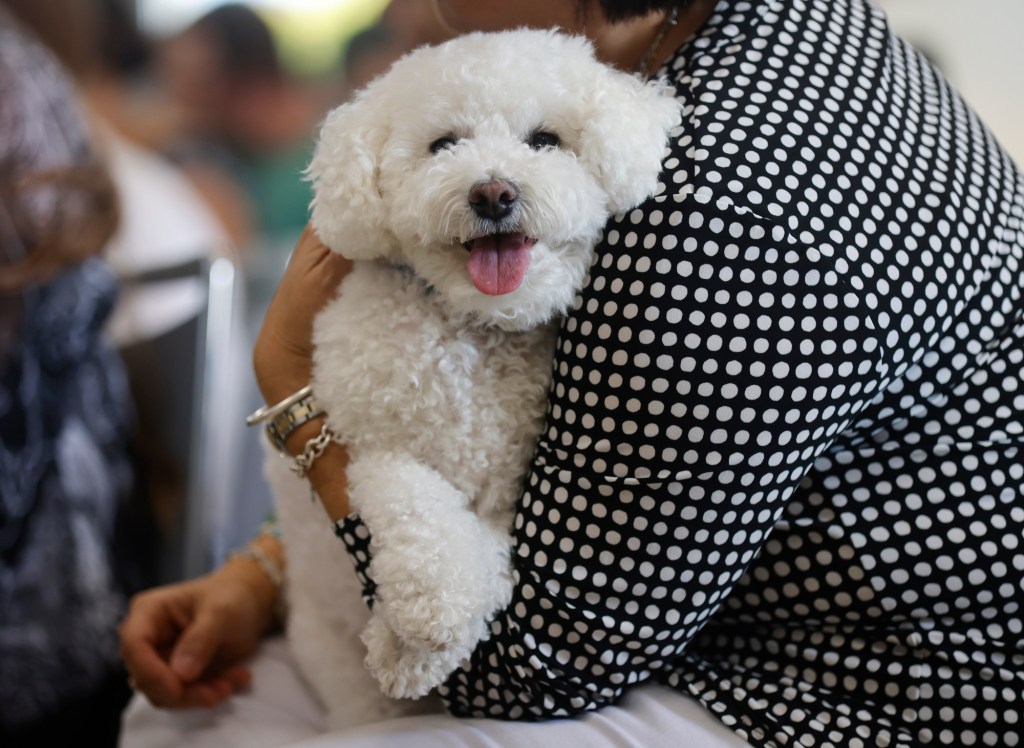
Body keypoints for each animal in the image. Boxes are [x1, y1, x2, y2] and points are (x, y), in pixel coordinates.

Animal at [264, 29, 679, 729]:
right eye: (442, 145)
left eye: (544, 140)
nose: (493, 194)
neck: (474, 335)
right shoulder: (373, 447)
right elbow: (421, 517)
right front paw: (422, 623)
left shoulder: (509, 497)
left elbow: (487, 559)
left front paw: (405, 646)